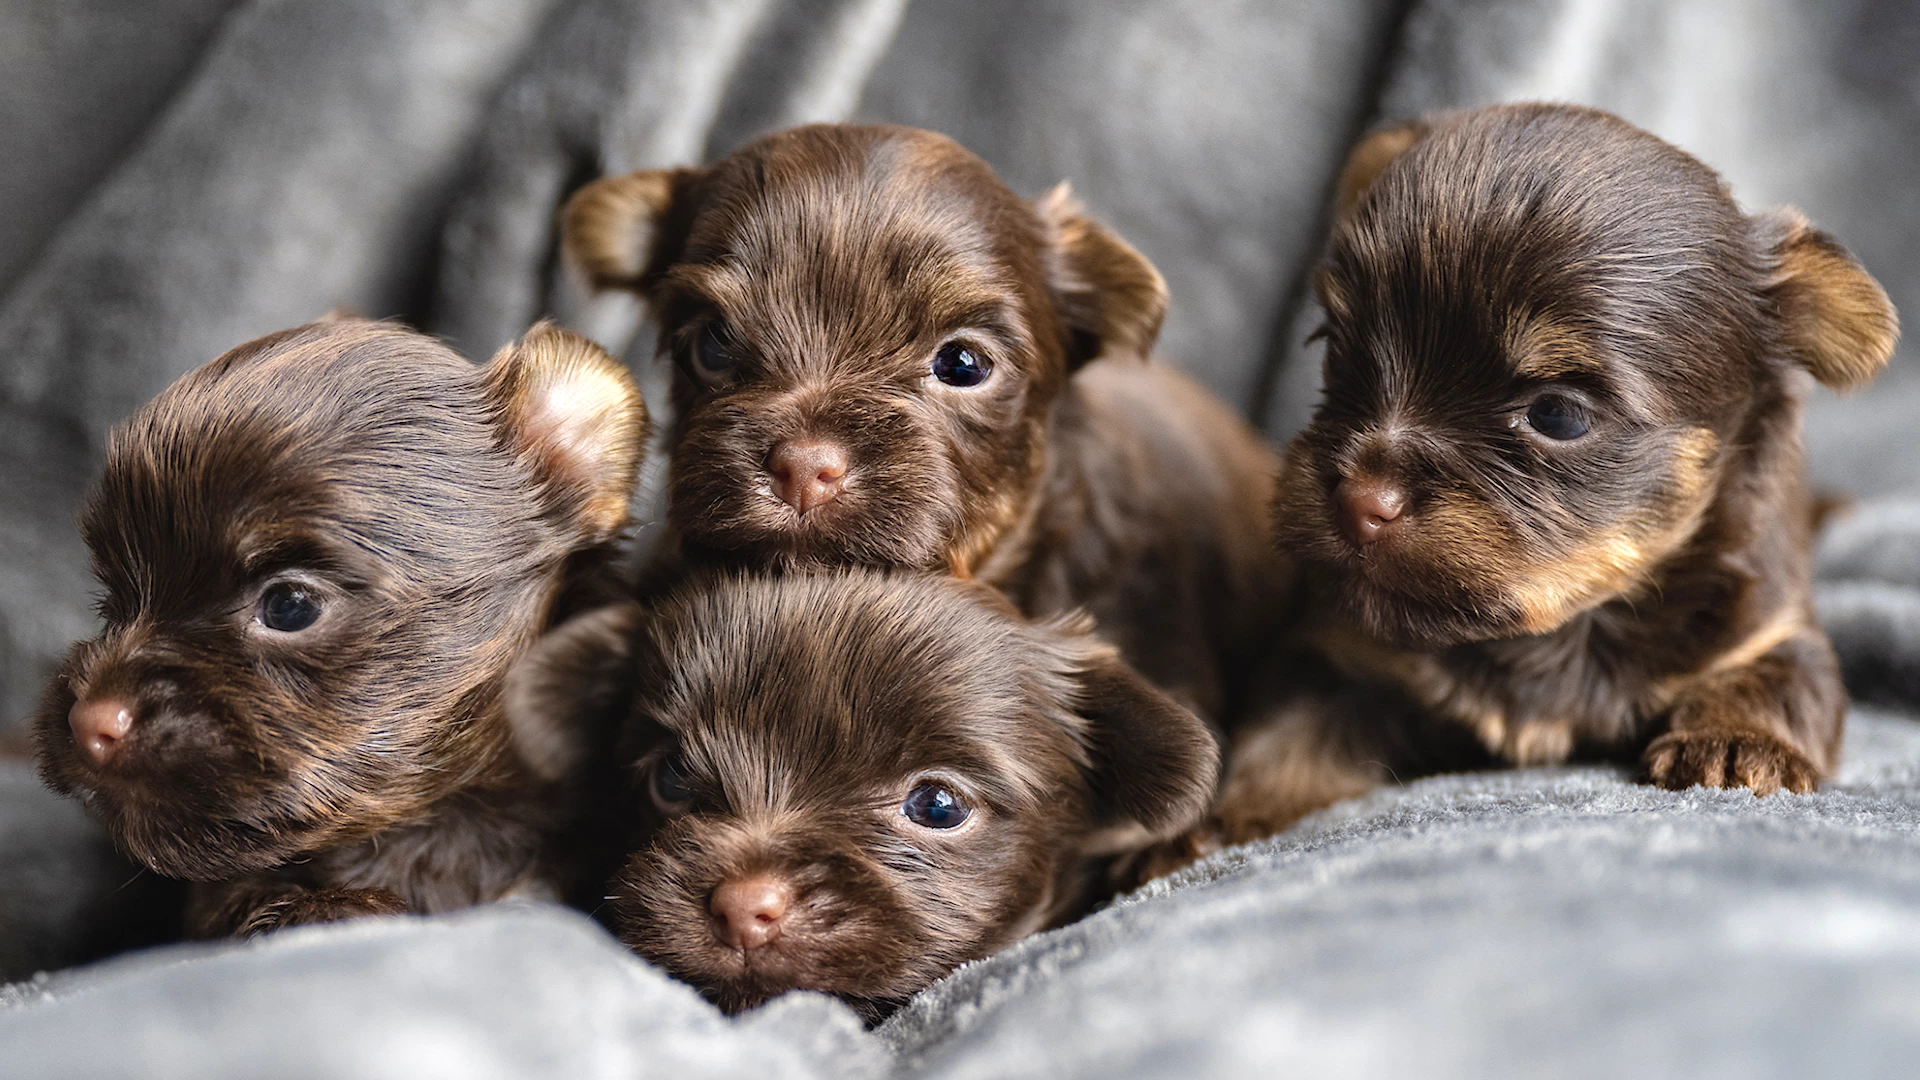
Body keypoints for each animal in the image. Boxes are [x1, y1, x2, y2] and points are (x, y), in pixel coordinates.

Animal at [1205, 105, 1896, 834]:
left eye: (1557, 415)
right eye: (1337, 351)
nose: (1359, 501)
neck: (1566, 624)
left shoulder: (1772, 631)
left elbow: (1781, 681)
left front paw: (1736, 745)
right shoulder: (1336, 654)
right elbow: (1284, 738)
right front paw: (1219, 824)